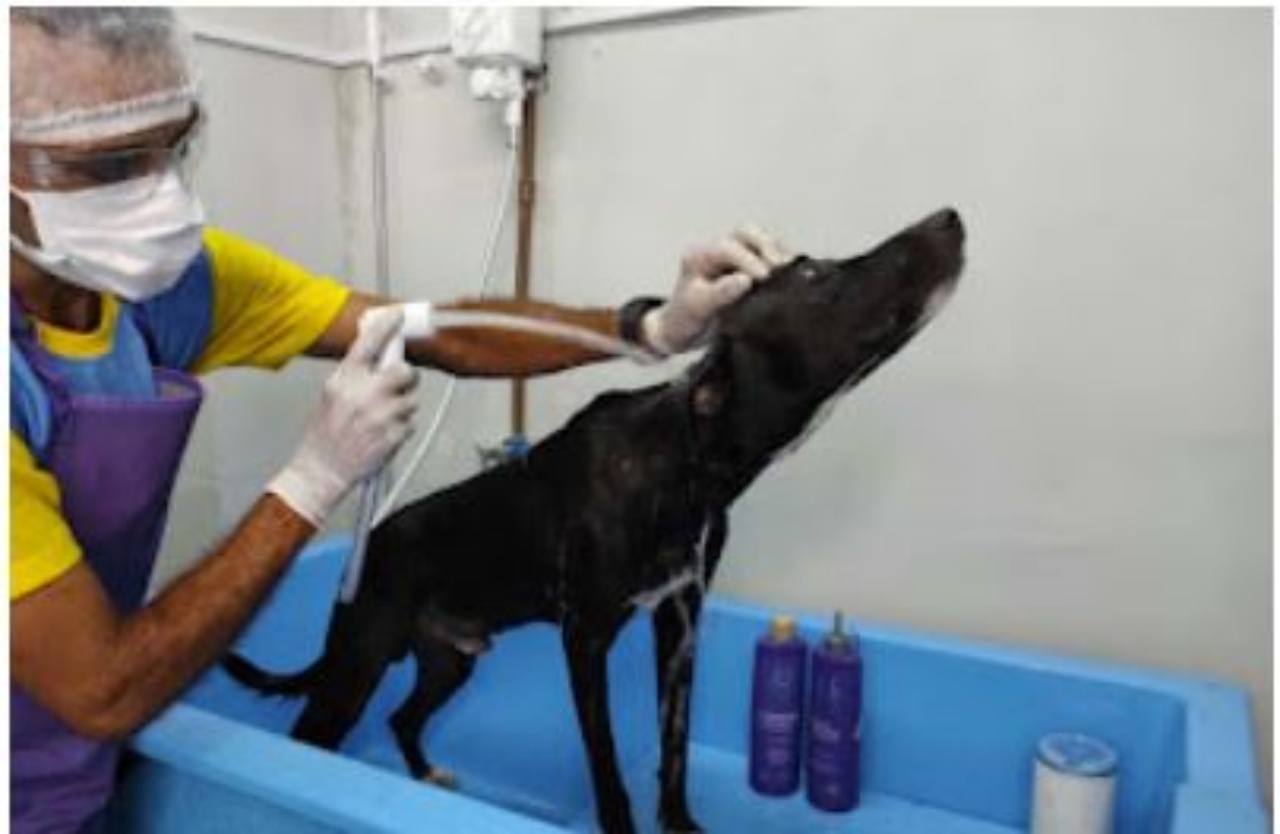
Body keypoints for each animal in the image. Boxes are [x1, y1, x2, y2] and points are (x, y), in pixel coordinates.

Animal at [225, 208, 962, 834]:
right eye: (813, 276)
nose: (949, 217)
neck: (687, 461)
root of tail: (365, 546)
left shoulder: (680, 620)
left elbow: (674, 752)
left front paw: (682, 825)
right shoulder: (585, 641)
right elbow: (607, 768)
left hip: (449, 663)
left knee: (405, 717)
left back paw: (424, 775)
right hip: (357, 664)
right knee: (311, 737)